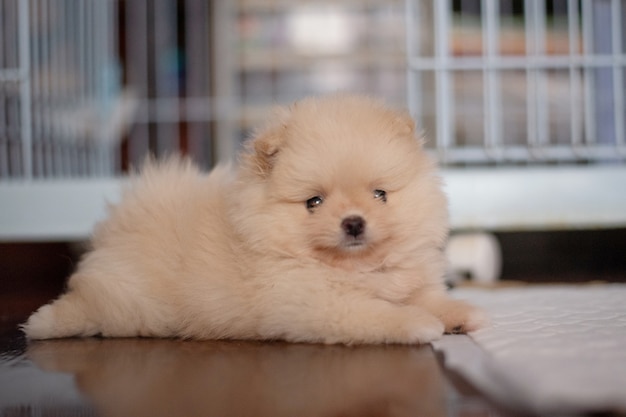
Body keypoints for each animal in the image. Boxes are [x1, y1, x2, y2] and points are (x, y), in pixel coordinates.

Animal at [22, 95, 486, 344]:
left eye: (380, 195)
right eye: (314, 202)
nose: (353, 222)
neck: (356, 267)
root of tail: (125, 218)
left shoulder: (408, 280)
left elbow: (425, 297)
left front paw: (460, 313)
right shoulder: (316, 306)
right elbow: (381, 314)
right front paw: (420, 325)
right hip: (131, 305)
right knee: (88, 304)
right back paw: (42, 323)